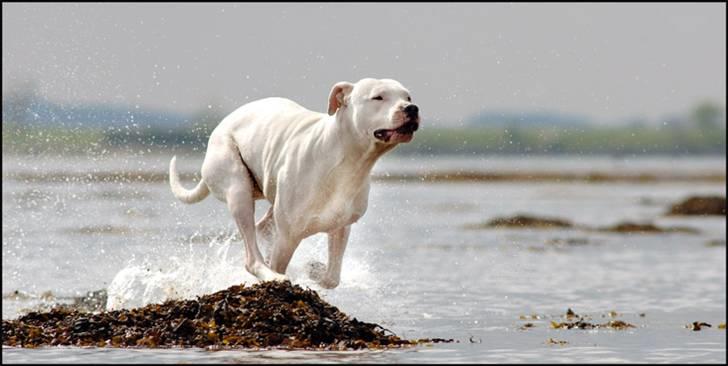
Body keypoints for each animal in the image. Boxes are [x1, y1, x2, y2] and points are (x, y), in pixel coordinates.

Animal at [170, 78, 418, 288]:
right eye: (378, 97)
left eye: (407, 97)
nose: (412, 109)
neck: (348, 159)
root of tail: (222, 124)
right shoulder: (288, 234)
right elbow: (281, 262)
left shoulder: (341, 226)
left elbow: (332, 277)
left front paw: (313, 270)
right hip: (236, 185)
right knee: (252, 255)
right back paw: (270, 274)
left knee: (263, 227)